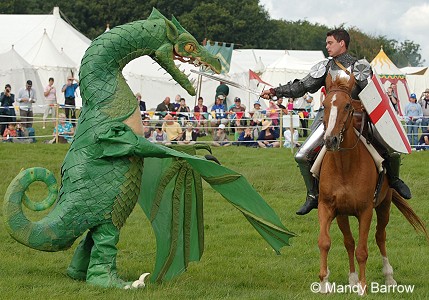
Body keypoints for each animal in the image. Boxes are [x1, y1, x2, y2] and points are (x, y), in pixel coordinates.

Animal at [316, 73, 426, 296]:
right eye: (324, 104)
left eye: (348, 105)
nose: (330, 140)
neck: (344, 166)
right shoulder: (328, 207)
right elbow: (325, 242)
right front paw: (324, 283)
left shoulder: (365, 211)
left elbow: (362, 250)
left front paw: (363, 286)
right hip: (342, 215)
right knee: (349, 242)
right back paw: (351, 279)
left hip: (384, 204)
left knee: (380, 236)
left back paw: (388, 277)